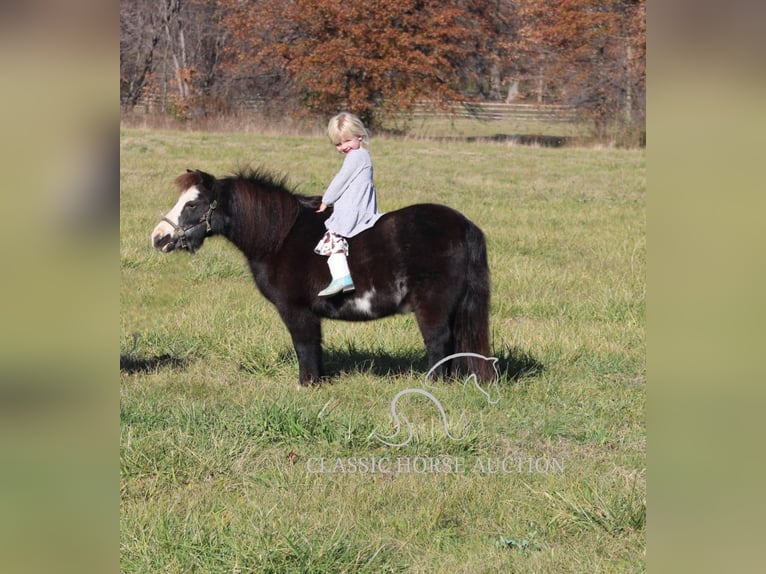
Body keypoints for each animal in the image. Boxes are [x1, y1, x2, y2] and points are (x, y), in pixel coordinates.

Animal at [153, 170, 496, 388]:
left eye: (193, 204)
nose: (158, 238)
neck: (280, 236)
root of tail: (464, 225)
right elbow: (315, 346)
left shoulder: (295, 309)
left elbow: (304, 344)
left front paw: (307, 384)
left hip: (432, 307)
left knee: (439, 342)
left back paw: (432, 386)